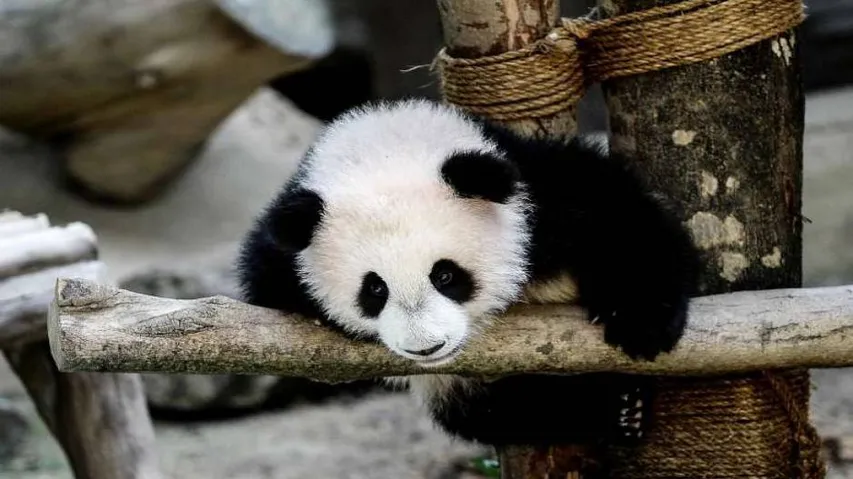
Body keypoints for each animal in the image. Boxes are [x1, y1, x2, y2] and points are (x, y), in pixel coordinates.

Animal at [236, 98, 700, 446]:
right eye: (374, 290)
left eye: (445, 275)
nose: (427, 348)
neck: (382, 147)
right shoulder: (280, 255)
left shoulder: (538, 197)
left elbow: (617, 215)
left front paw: (641, 322)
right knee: (500, 410)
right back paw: (615, 409)